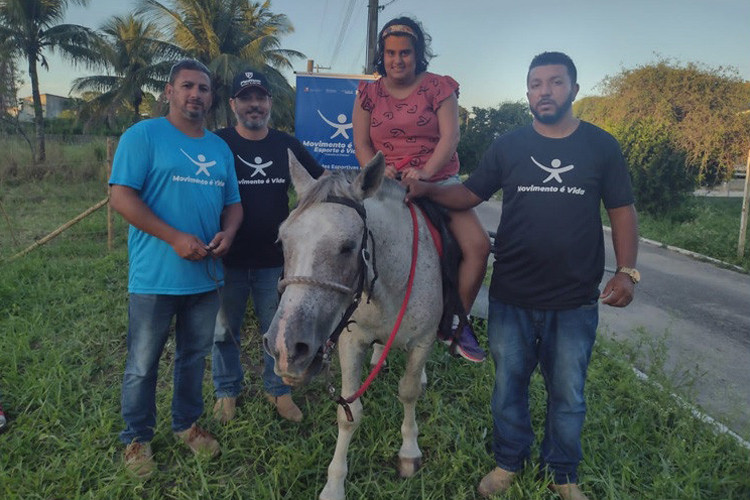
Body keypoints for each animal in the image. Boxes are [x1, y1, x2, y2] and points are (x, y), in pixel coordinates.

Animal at [262, 151, 444, 500]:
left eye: (347, 247)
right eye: (280, 241)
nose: (286, 348)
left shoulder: (422, 341)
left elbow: (409, 392)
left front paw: (409, 451)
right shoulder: (350, 341)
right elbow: (348, 414)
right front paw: (334, 485)